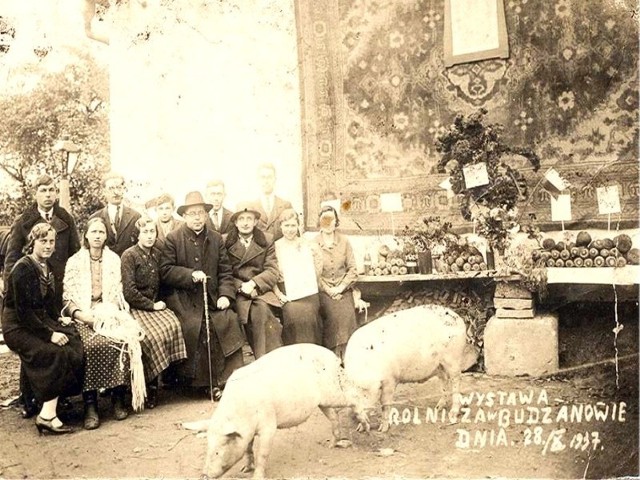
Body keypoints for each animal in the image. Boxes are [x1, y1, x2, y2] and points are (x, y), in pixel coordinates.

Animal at [200, 344, 370, 478]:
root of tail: (333, 356)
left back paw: (365, 428)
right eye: (208, 446)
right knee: (334, 416)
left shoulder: (268, 425)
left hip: (334, 391)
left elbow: (262, 453)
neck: (242, 412)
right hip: (323, 402)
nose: (204, 474)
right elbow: (248, 450)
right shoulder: (247, 433)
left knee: (354, 397)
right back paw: (330, 445)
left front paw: (257, 476)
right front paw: (244, 469)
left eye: (217, 451)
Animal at [344, 306, 476, 434]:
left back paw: (452, 413)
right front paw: (359, 429)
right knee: (444, 380)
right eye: (351, 396)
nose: (356, 415)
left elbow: (385, 403)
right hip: (439, 365)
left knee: (456, 381)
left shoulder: (390, 379)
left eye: (363, 393)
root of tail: (457, 317)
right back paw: (437, 407)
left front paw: (383, 429)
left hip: (454, 358)